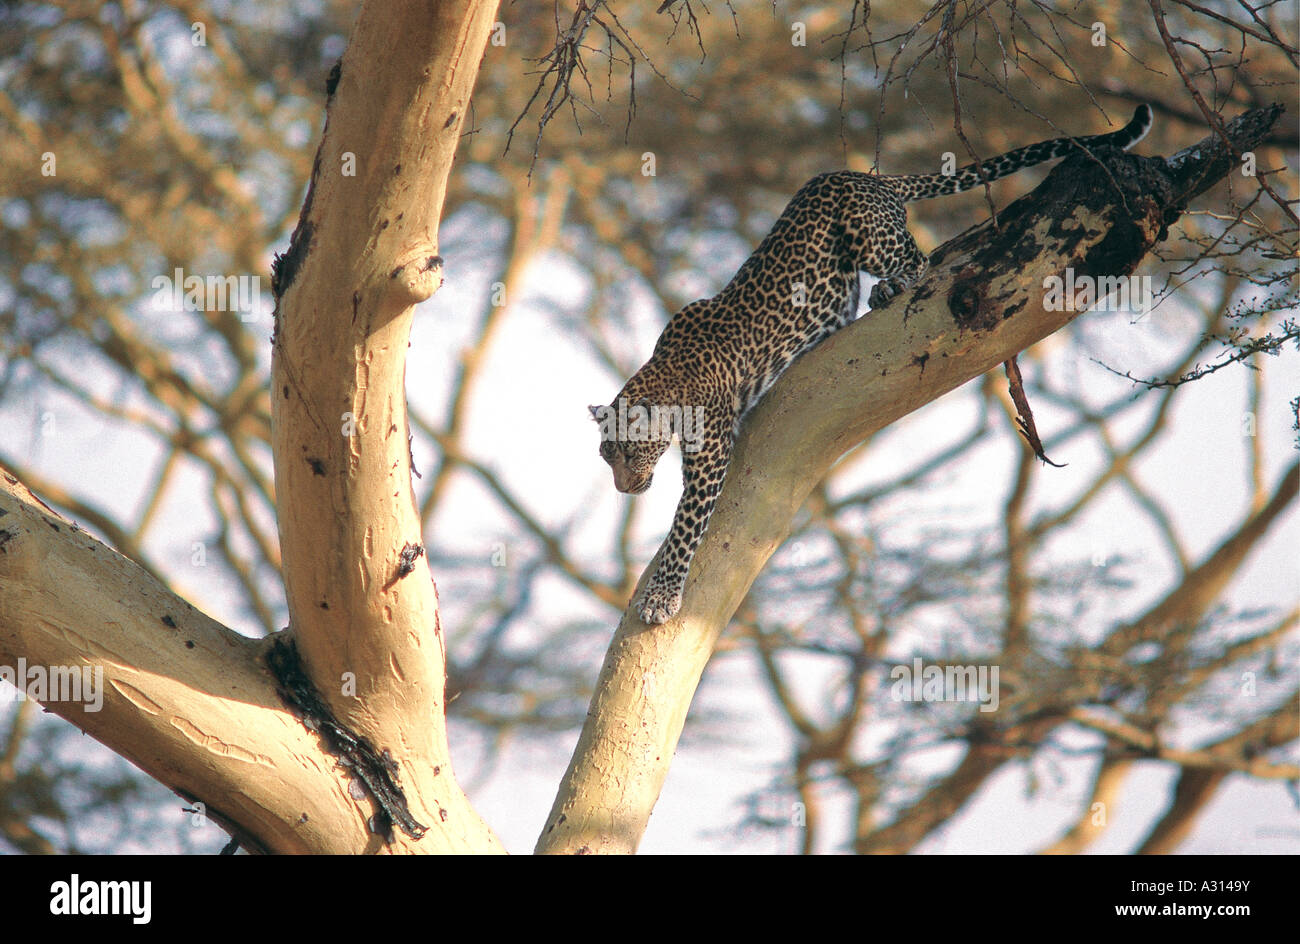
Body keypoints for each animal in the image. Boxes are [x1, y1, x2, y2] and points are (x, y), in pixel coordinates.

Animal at [595, 105, 1154, 629]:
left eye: (624, 451)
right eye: (606, 455)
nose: (623, 490)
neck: (665, 379)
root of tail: (866, 176)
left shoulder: (711, 454)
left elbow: (685, 528)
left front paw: (662, 596)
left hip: (868, 232)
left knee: (922, 259)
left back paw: (892, 286)